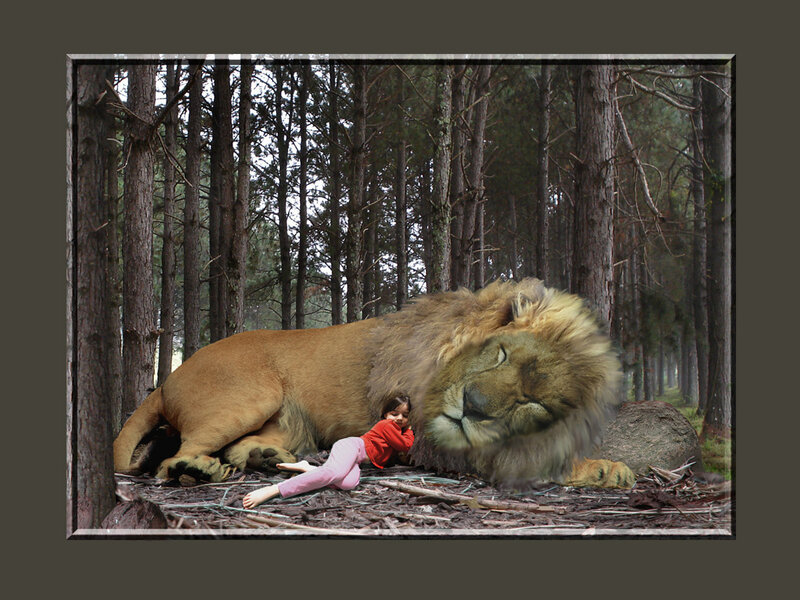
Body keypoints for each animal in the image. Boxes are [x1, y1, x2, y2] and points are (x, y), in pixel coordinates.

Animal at [114, 278, 635, 489]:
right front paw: (607, 469)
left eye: (534, 402)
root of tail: (169, 377)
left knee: (241, 447)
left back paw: (266, 457)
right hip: (251, 395)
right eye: (501, 352)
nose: (472, 406)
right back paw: (196, 471)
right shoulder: (430, 440)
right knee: (176, 457)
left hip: (285, 419)